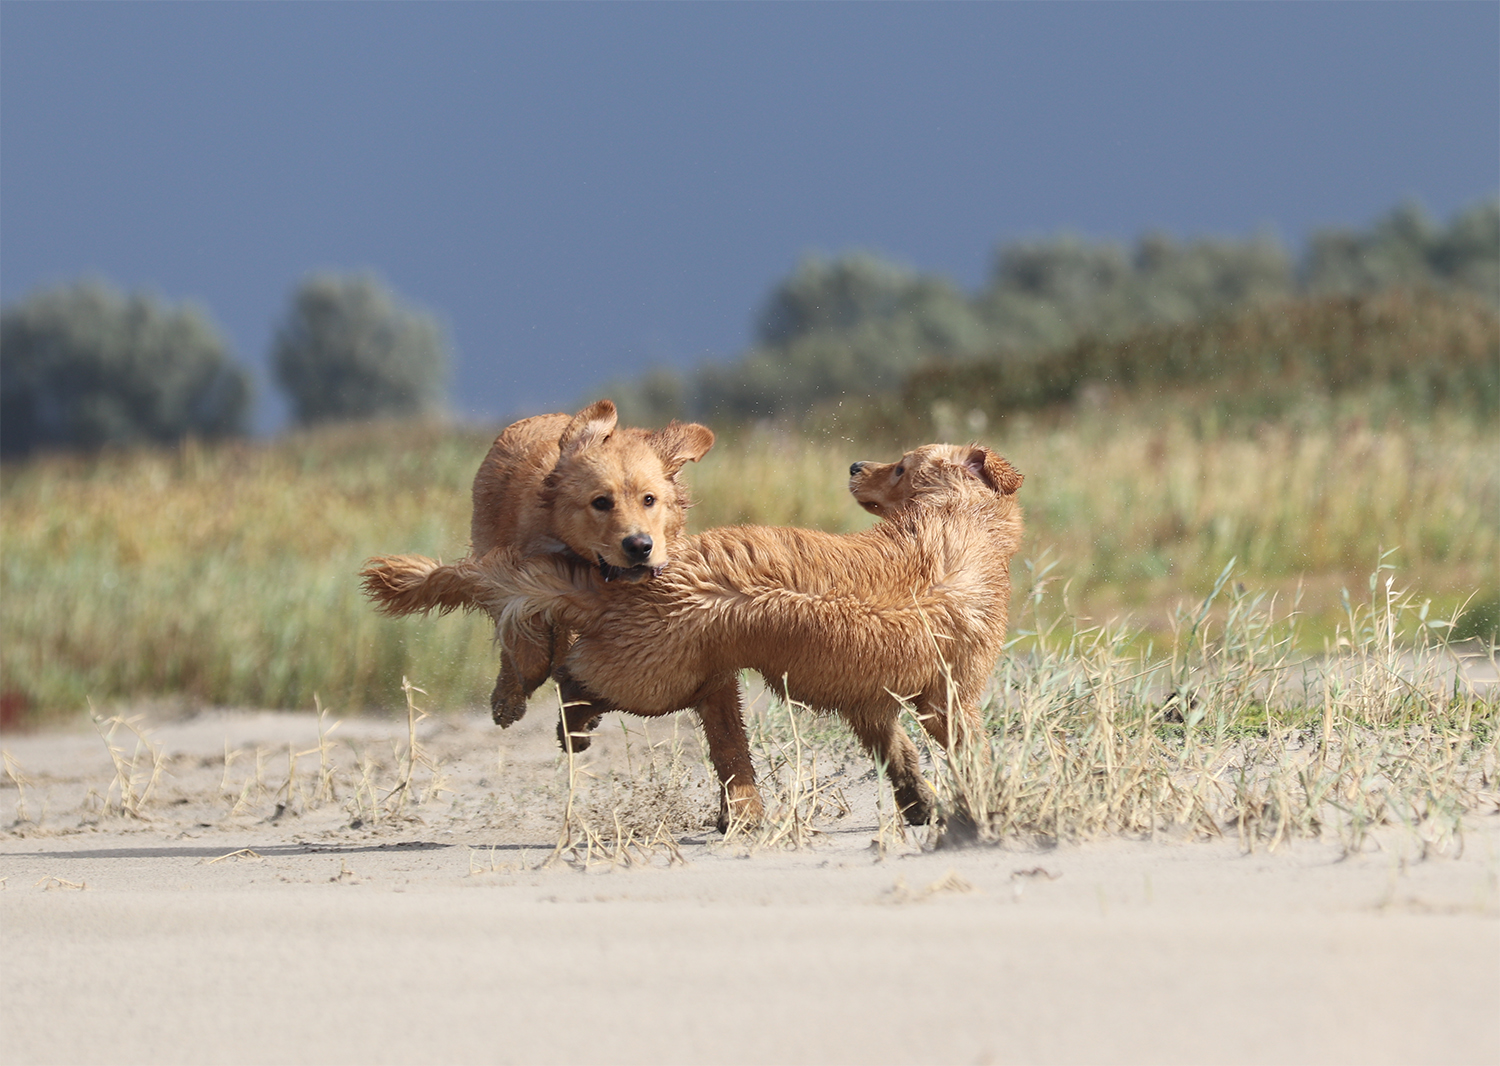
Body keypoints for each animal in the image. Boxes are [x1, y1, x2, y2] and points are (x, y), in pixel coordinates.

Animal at [363, 443, 1023, 830]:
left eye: (902, 464)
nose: (856, 465)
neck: (957, 520)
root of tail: (630, 576)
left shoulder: (870, 696)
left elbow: (898, 754)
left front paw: (920, 804)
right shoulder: (950, 694)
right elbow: (967, 745)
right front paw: (981, 796)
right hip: (656, 672)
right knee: (576, 673)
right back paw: (569, 720)